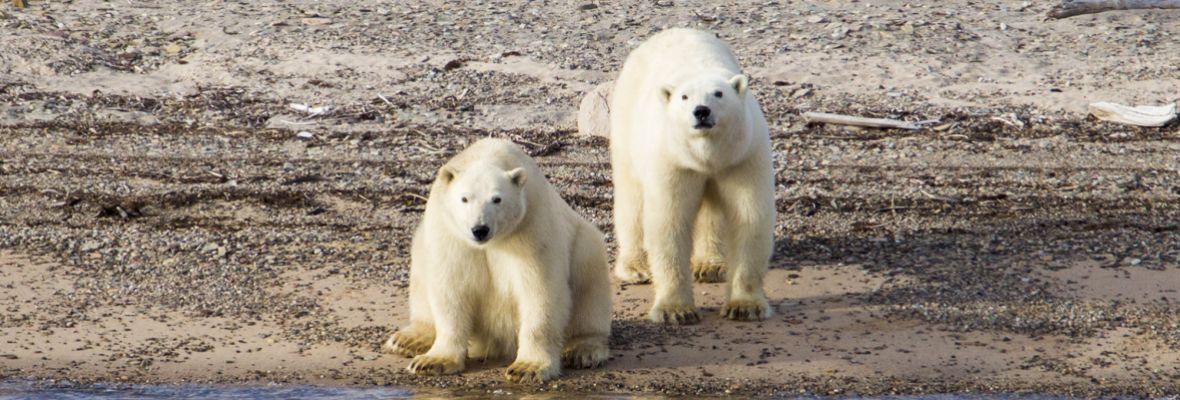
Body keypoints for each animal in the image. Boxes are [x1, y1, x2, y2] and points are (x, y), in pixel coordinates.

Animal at [384, 138, 613, 384]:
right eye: (464, 198)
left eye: (497, 199)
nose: (480, 229)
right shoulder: (449, 233)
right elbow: (451, 288)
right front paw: (432, 361)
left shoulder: (531, 228)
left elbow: (539, 291)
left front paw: (527, 368)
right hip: (422, 243)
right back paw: (409, 339)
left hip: (584, 245)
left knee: (590, 285)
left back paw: (582, 350)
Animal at [608, 28, 774, 323]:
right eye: (684, 97)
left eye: (719, 93)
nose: (701, 111)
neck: (705, 157)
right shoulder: (674, 163)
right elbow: (669, 221)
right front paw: (676, 311)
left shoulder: (742, 158)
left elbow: (749, 217)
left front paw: (744, 306)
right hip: (626, 122)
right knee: (632, 199)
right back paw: (636, 268)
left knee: (713, 210)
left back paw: (711, 265)